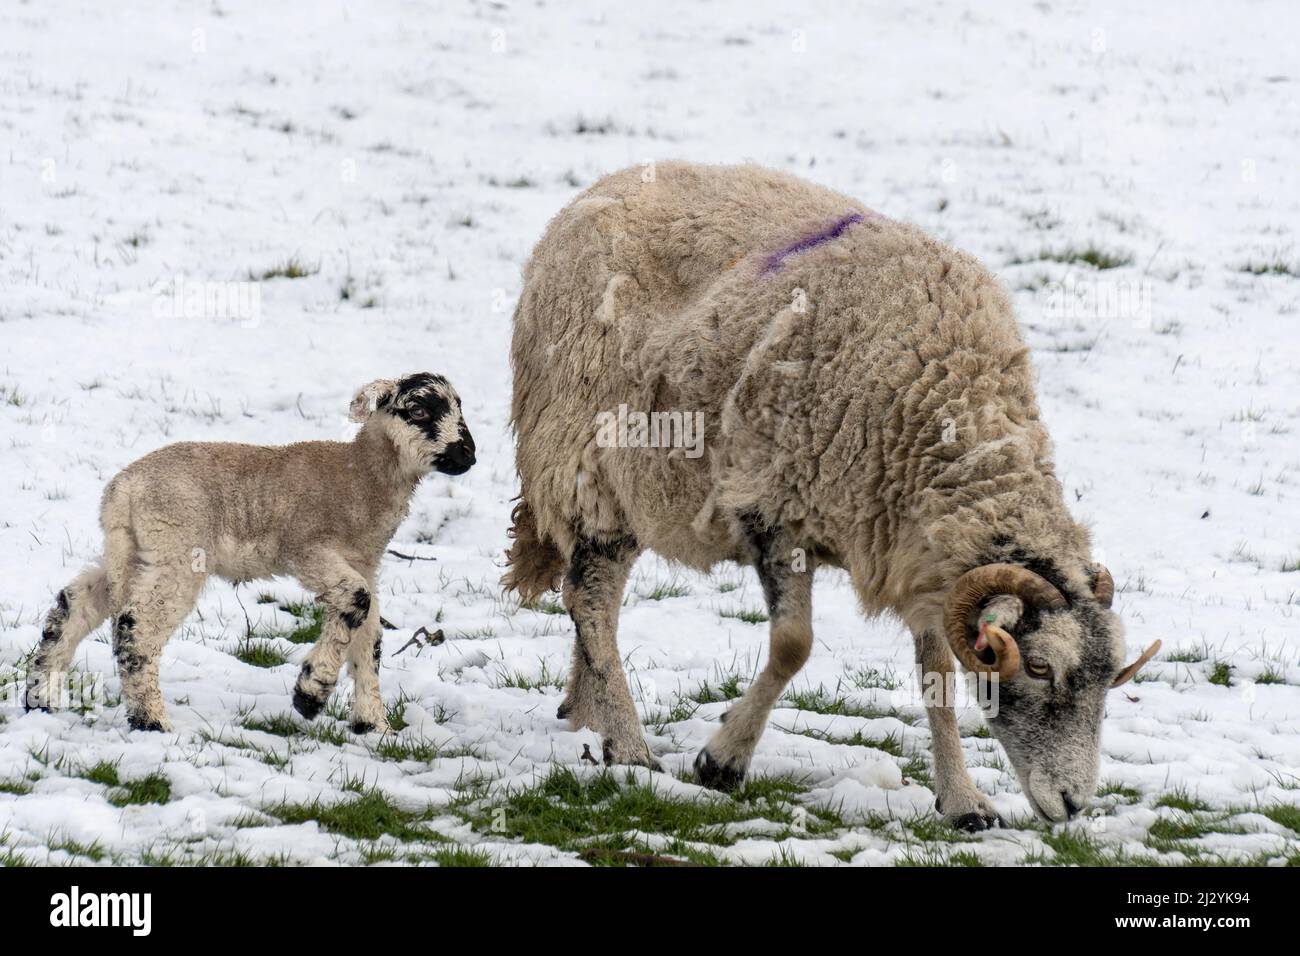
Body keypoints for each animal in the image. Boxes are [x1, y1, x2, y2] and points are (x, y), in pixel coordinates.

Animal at [25, 372, 475, 734]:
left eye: (459, 409)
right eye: (418, 410)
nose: (468, 454)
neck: (360, 476)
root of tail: (122, 490)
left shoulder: (367, 561)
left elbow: (371, 639)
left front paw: (373, 725)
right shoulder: (308, 550)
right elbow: (356, 602)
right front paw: (310, 693)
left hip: (136, 551)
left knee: (73, 605)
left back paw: (41, 698)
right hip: (176, 549)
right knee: (136, 627)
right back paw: (151, 721)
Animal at [503, 161, 1158, 829]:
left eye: (1109, 678)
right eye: (1040, 666)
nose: (1074, 804)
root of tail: (590, 196)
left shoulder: (916, 546)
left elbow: (938, 675)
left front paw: (963, 801)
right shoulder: (772, 507)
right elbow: (794, 646)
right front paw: (722, 760)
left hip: (635, 485)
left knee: (593, 594)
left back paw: (588, 715)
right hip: (585, 457)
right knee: (589, 597)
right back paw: (629, 744)